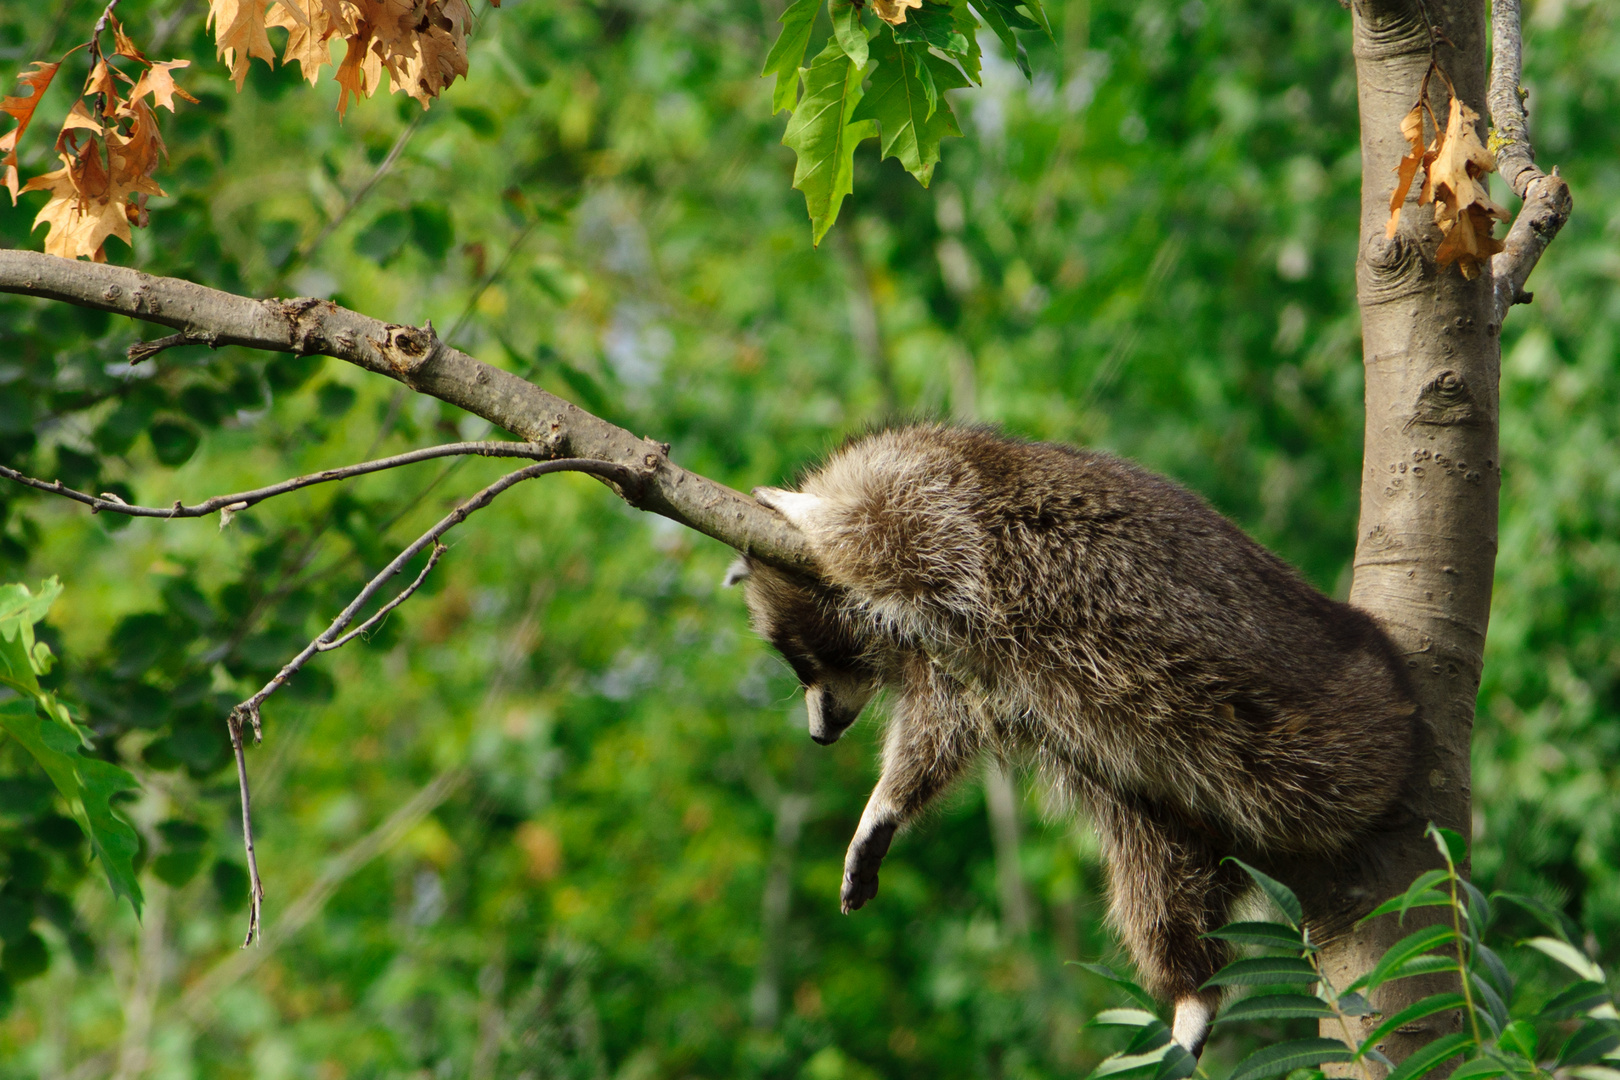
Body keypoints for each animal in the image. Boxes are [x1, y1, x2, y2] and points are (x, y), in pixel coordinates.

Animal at [735, 424, 1419, 1055]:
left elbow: (875, 533)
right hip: (1160, 798)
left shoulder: (929, 497)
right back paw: (1192, 986)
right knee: (1159, 868)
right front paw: (888, 808)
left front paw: (806, 510)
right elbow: (938, 736)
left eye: (802, 661)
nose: (819, 734)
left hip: (1296, 722)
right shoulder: (948, 656)